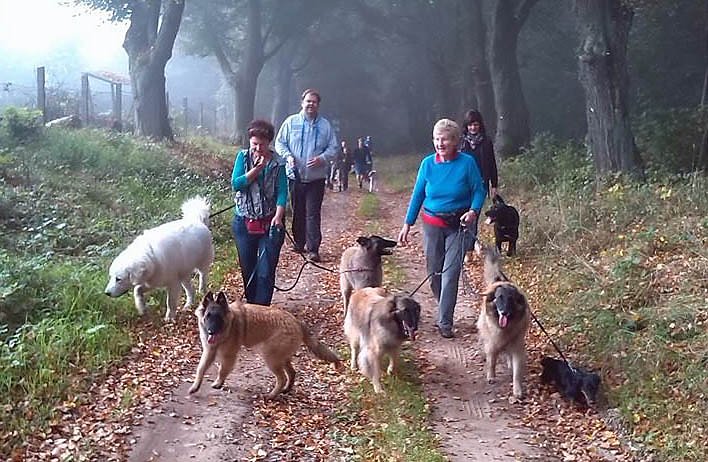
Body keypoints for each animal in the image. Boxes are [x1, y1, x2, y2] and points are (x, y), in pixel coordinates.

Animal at [189, 292, 342, 398]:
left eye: (218, 317)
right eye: (208, 316)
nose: (211, 331)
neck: (229, 323)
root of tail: (296, 322)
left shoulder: (228, 355)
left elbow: (222, 370)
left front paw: (219, 383)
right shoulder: (209, 351)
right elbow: (200, 369)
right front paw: (195, 386)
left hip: (271, 358)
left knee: (282, 378)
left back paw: (272, 395)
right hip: (281, 358)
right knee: (292, 373)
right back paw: (286, 389)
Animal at [476, 249, 532, 398]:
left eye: (511, 299)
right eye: (499, 298)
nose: (504, 312)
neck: (505, 328)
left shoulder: (517, 346)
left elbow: (517, 372)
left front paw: (517, 390)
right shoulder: (492, 343)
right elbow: (492, 362)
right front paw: (491, 376)